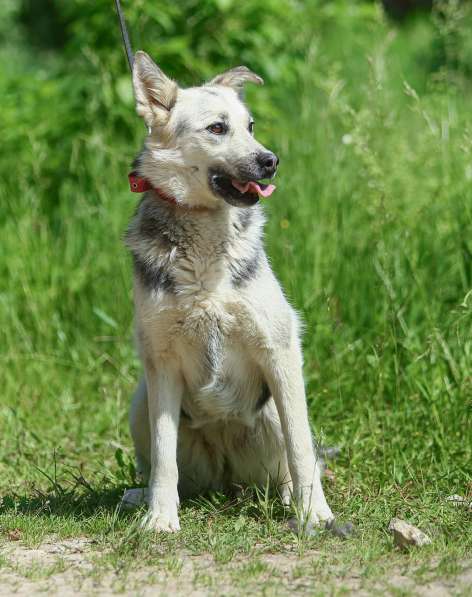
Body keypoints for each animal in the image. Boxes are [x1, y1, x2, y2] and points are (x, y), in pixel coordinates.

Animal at [122, 51, 340, 532]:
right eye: (217, 128)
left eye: (251, 125)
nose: (271, 161)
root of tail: (227, 482)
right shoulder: (160, 363)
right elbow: (164, 457)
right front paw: (160, 518)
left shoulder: (280, 351)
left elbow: (301, 449)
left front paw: (315, 514)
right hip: (141, 399)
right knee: (164, 468)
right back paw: (141, 497)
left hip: (275, 405)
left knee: (296, 460)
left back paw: (292, 499)